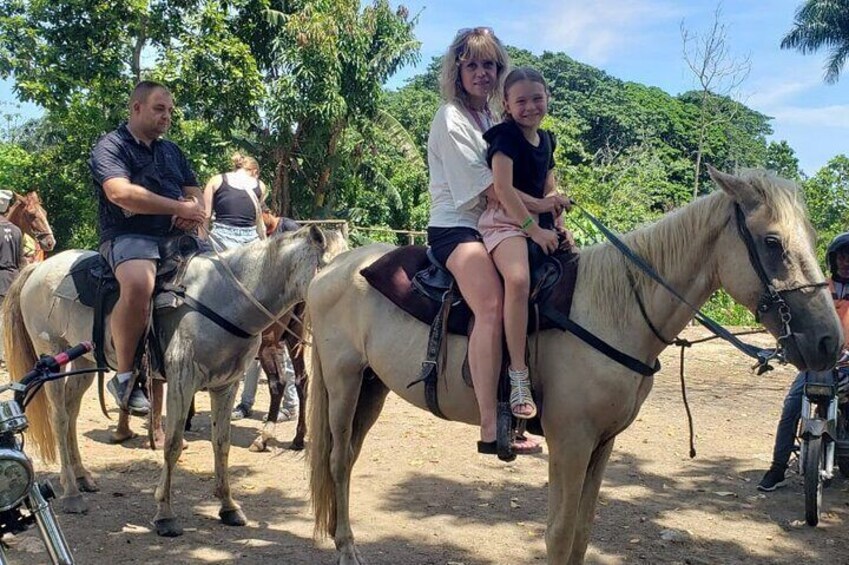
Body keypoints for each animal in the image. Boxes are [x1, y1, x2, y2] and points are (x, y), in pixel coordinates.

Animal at [2, 223, 348, 536]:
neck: (224, 297)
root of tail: (38, 268)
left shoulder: (226, 385)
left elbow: (221, 443)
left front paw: (228, 506)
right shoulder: (182, 381)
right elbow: (171, 445)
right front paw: (165, 514)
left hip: (82, 360)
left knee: (71, 414)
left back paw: (83, 477)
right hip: (52, 359)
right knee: (60, 418)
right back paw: (72, 493)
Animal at [304, 167, 840, 564]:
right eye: (772, 243)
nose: (829, 342)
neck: (614, 309)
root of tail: (332, 268)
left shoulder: (602, 444)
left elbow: (581, 533)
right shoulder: (570, 441)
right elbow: (559, 534)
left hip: (373, 386)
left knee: (348, 457)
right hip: (343, 382)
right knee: (336, 459)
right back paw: (346, 547)